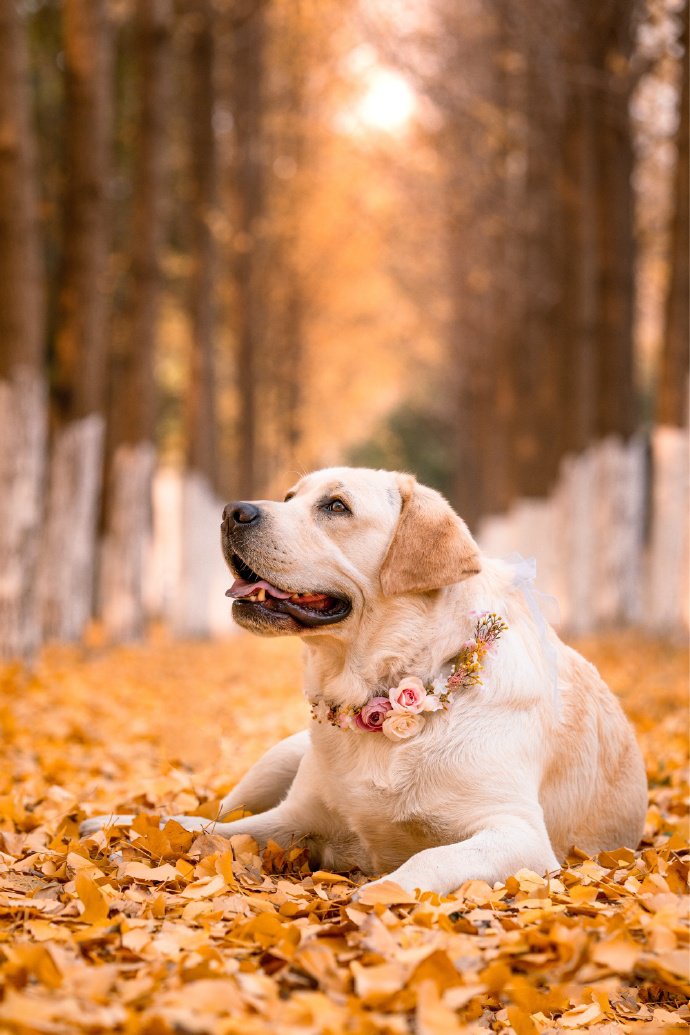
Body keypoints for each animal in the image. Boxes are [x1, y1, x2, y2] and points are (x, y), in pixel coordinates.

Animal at [83, 469, 649, 898]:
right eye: (289, 497)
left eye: (335, 507)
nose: (232, 512)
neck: (387, 692)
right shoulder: (296, 815)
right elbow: (209, 834)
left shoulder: (521, 836)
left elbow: (431, 860)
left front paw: (379, 893)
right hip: (279, 759)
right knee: (212, 812)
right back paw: (112, 821)